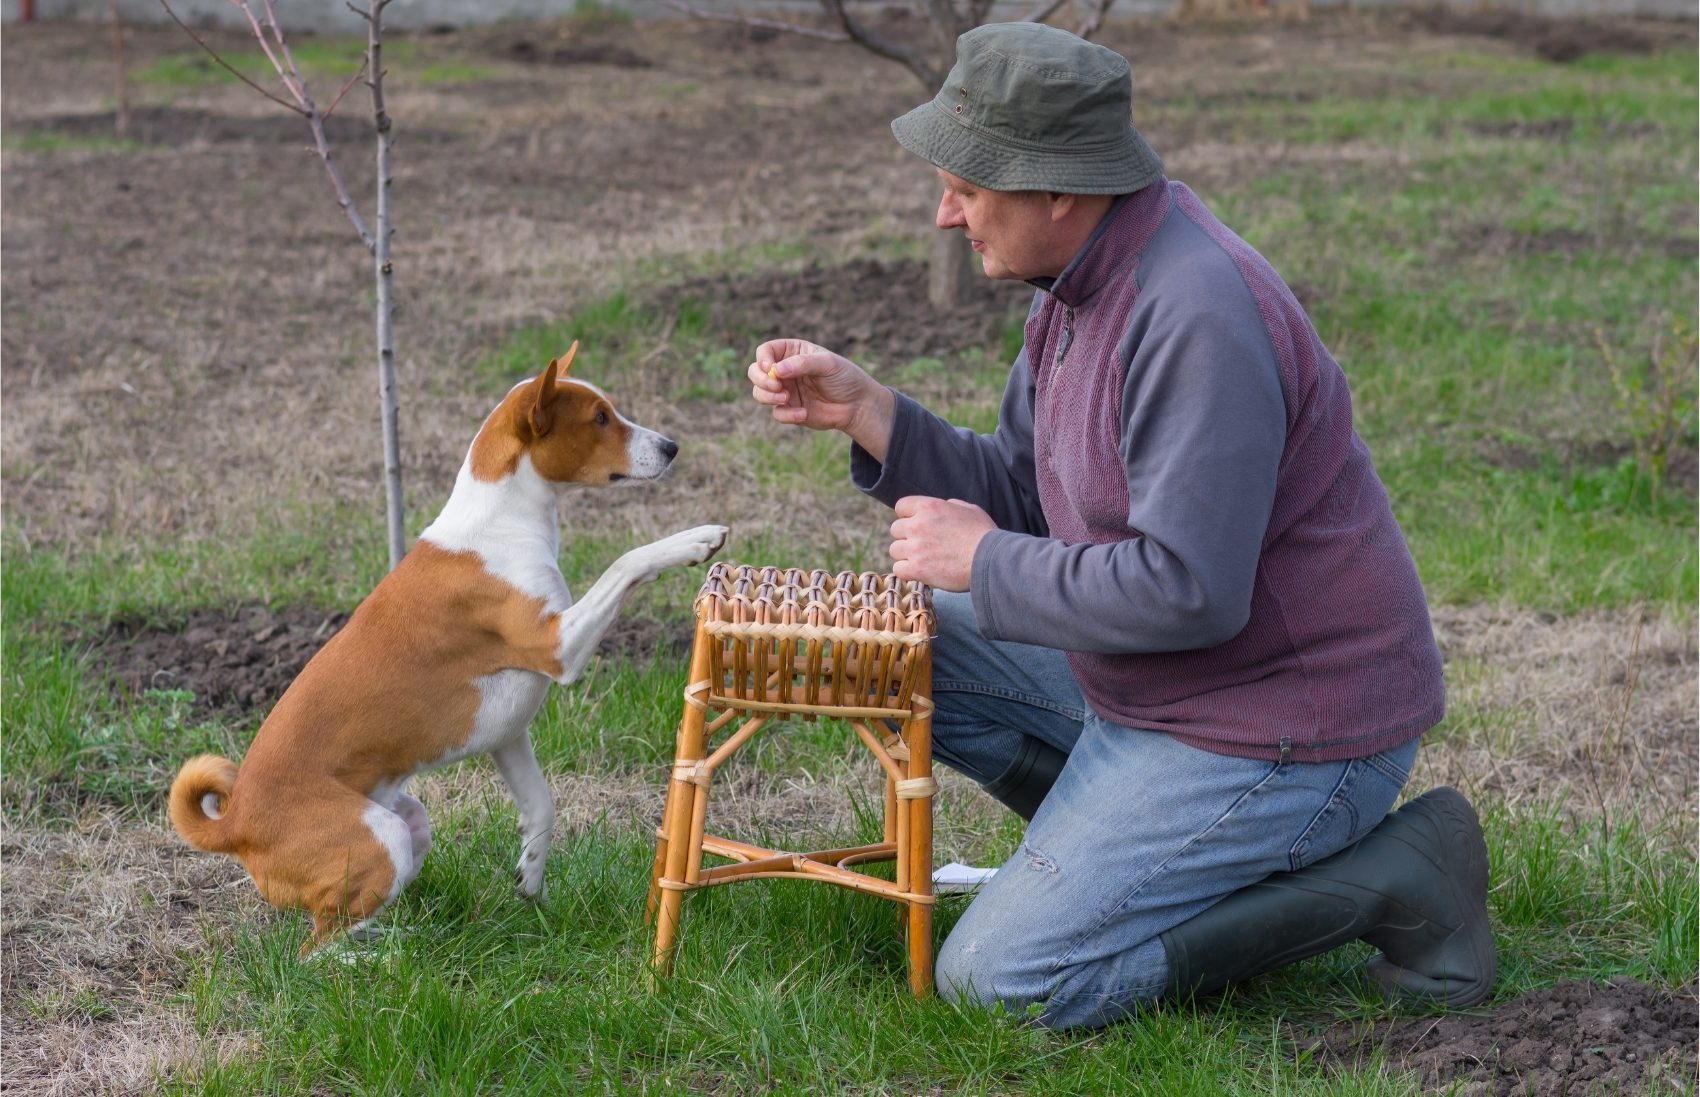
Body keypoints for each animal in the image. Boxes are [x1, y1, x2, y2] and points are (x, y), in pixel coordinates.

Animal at [169, 345, 727, 952]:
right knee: (316, 950)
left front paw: (531, 883)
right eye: (601, 418)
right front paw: (692, 539)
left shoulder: (508, 735)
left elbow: (541, 809)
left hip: (411, 825)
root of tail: (236, 825)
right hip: (383, 837)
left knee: (348, 923)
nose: (671, 446)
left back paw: (400, 938)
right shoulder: (557, 646)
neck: (502, 522)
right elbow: (627, 561)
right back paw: (382, 959)